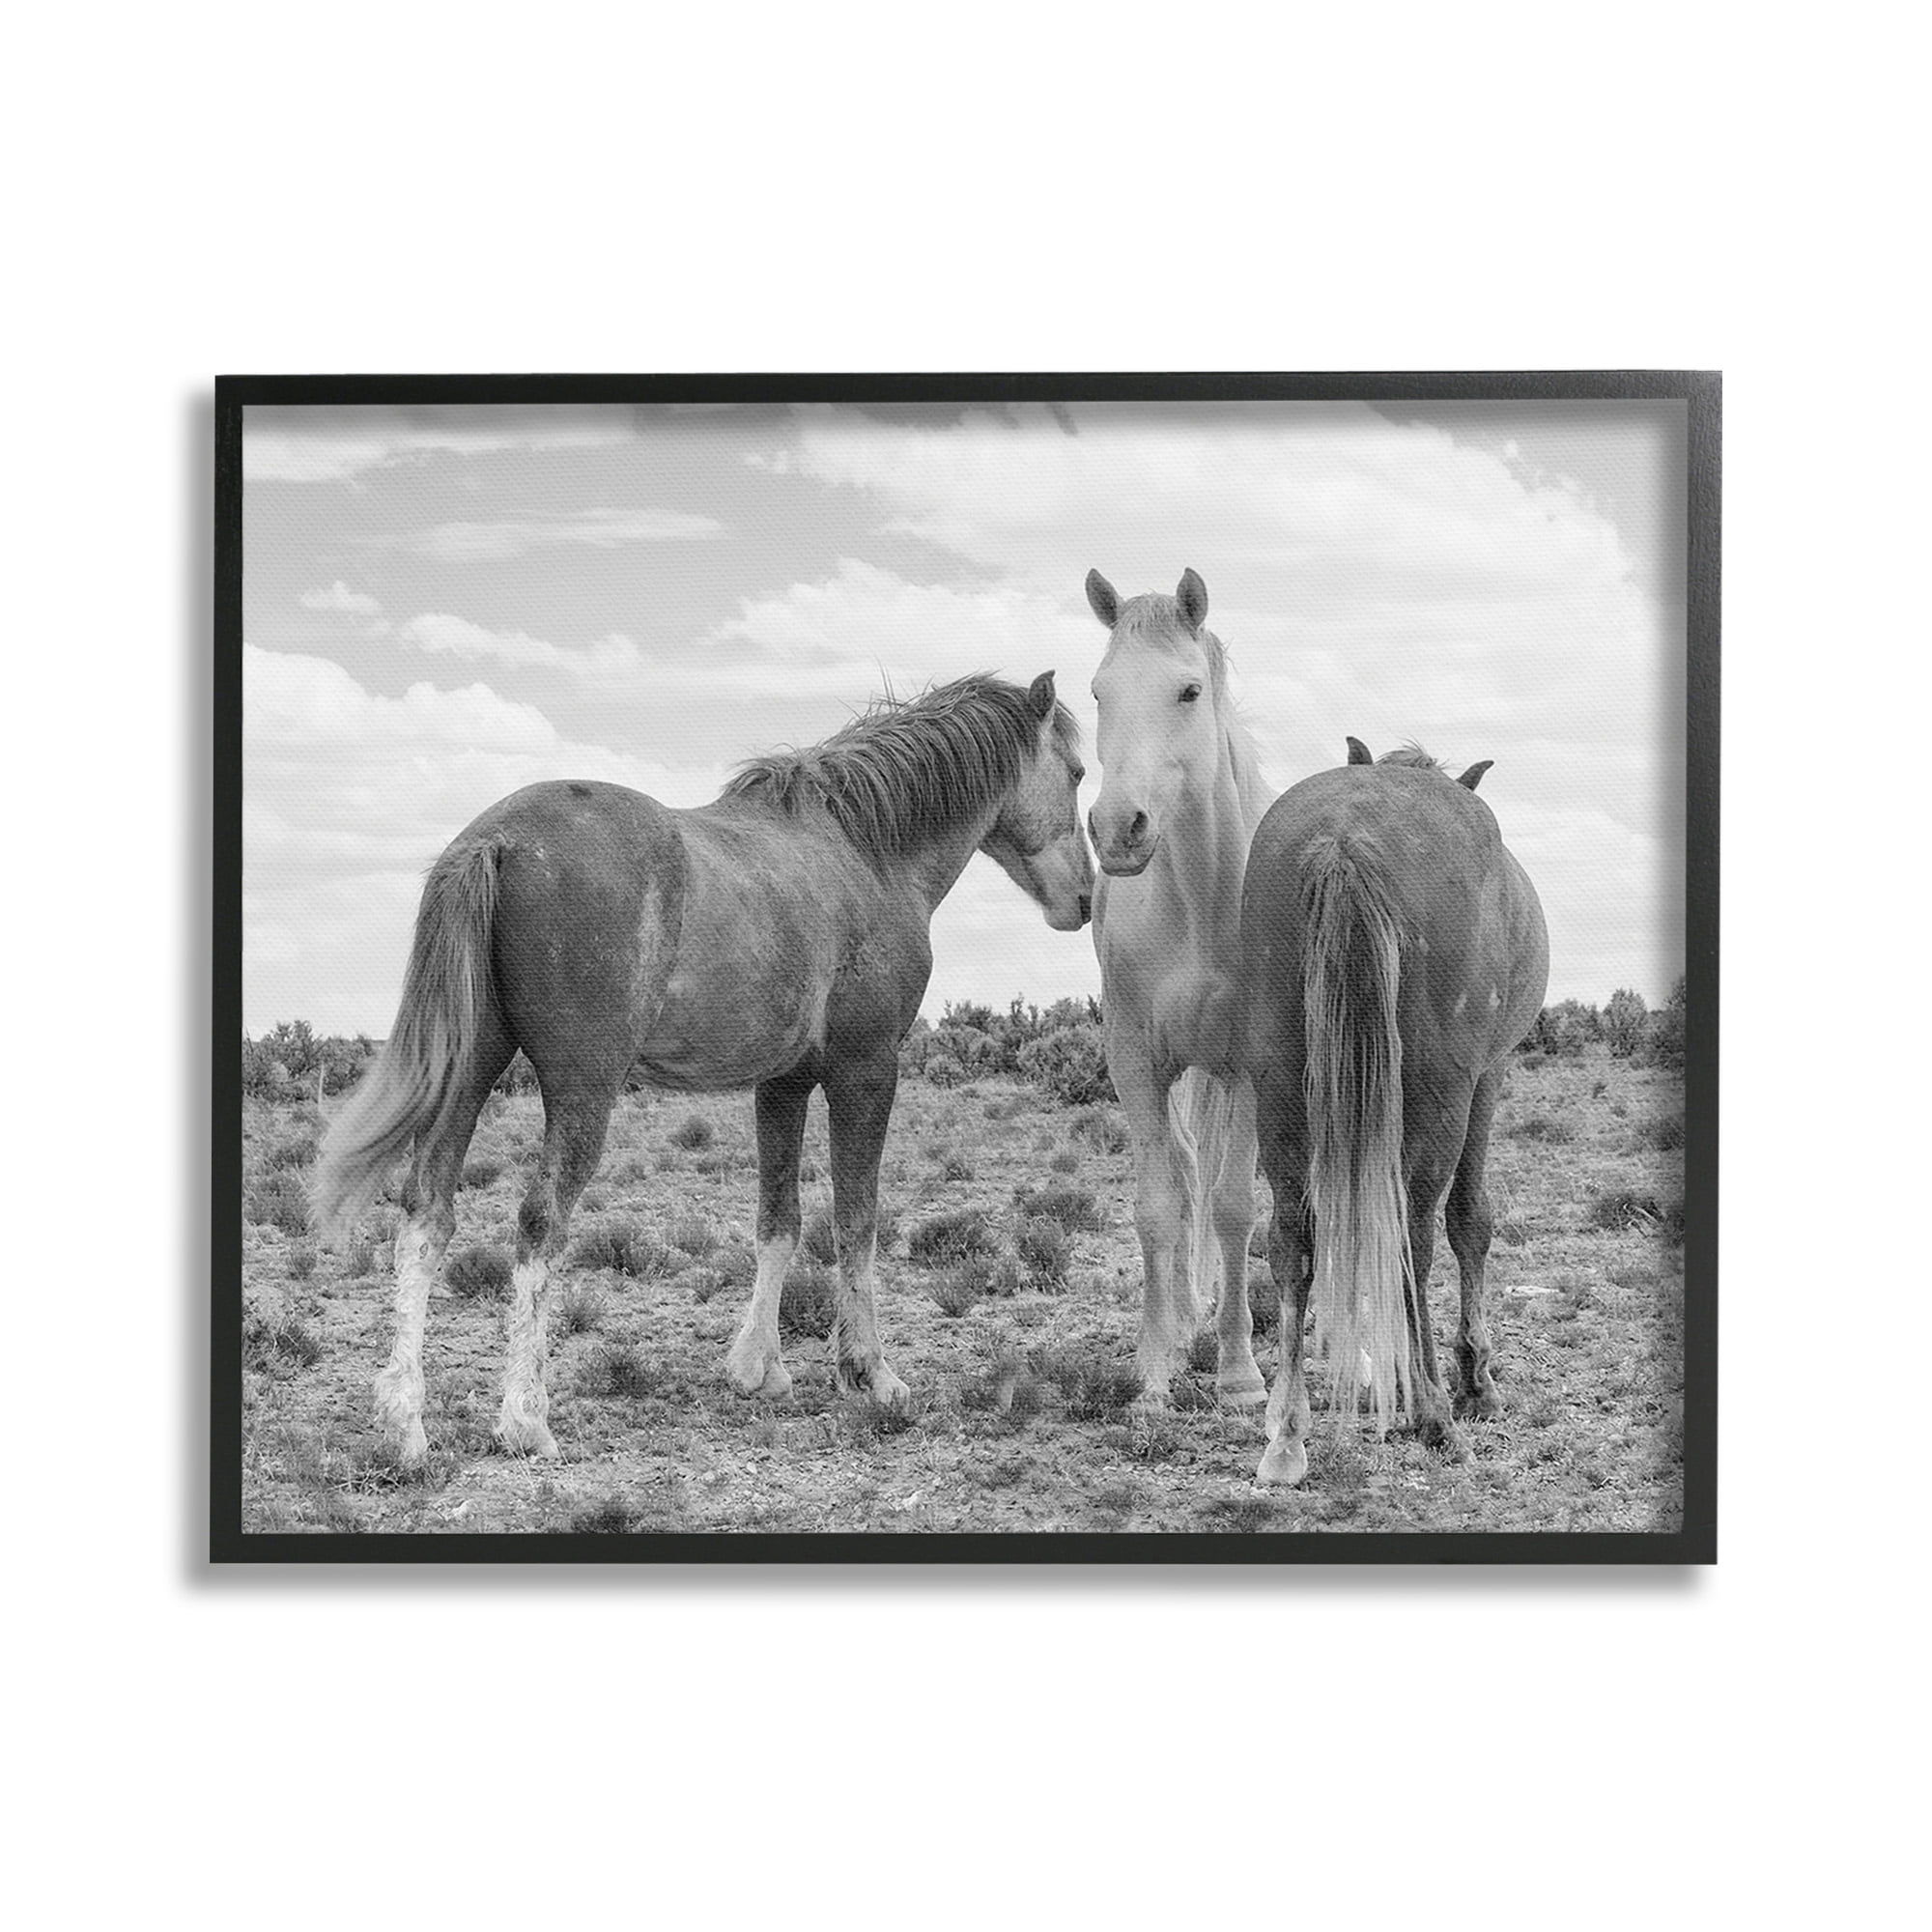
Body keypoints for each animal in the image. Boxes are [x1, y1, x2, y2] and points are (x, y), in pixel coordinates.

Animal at [312, 671, 1093, 1467]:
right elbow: (857, 1221)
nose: (1085, 899)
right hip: (582, 1091)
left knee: (427, 1212)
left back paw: (406, 1422)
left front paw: (757, 1367)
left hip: (472, 1072)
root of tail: (494, 841)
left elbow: (778, 1222)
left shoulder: (783, 1084)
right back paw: (526, 1418)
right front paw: (870, 1373)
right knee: (538, 1222)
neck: (866, 852)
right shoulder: (867, 1070)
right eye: (1077, 773)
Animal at [1241, 742, 1549, 1485]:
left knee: (1291, 1240)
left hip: (1280, 1085)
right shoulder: (1487, 1076)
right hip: (1442, 1090)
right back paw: (1435, 1413)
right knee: (1415, 1235)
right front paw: (1476, 1383)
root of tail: (1346, 839)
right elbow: (1471, 1221)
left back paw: (1286, 1435)